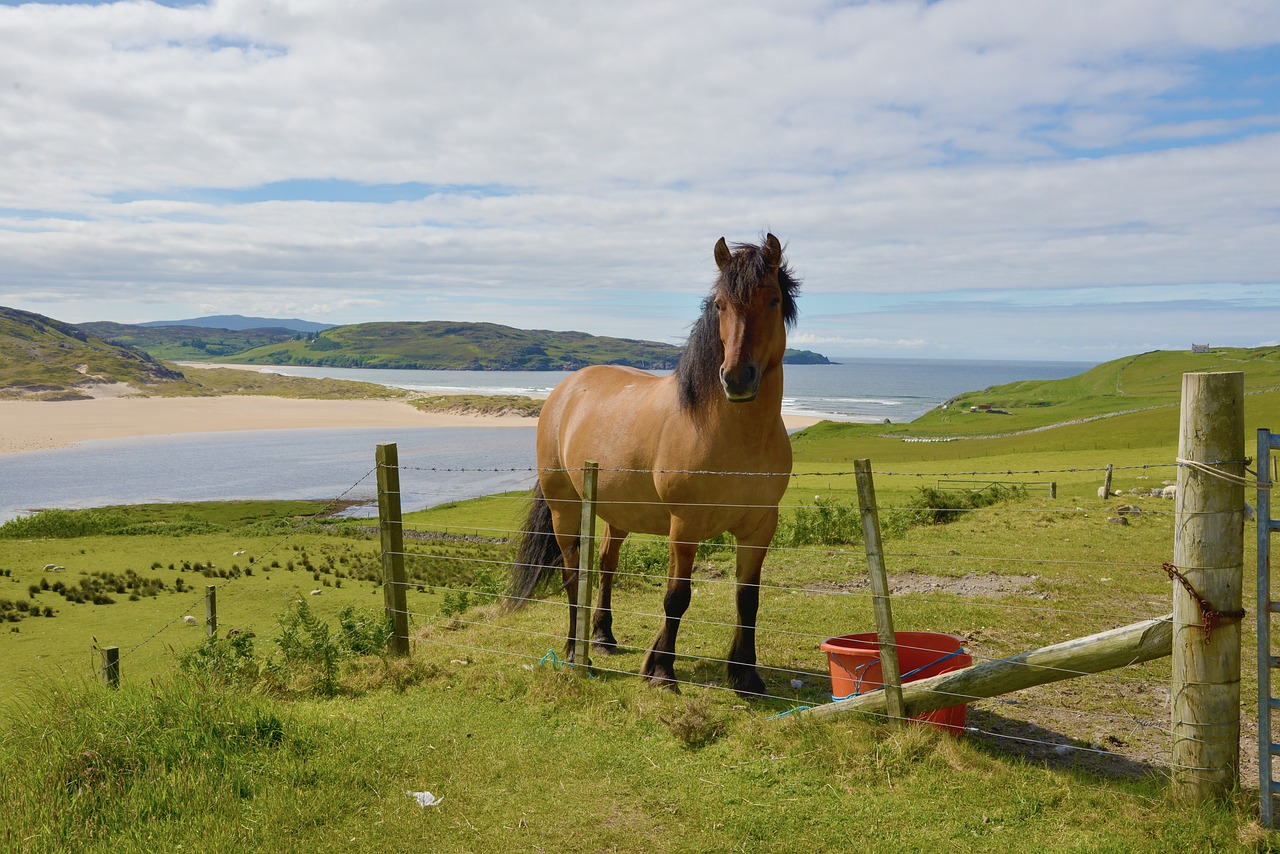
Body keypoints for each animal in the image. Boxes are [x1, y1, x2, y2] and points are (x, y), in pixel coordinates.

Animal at [509, 231, 798, 696]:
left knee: (605, 565)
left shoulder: (759, 526)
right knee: (573, 574)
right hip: (564, 509)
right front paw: (661, 669)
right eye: (720, 305)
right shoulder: (685, 525)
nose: (736, 379)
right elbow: (676, 596)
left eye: (772, 300)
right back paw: (573, 649)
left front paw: (745, 674)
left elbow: (747, 597)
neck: (731, 435)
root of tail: (567, 387)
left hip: (615, 514)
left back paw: (603, 637)